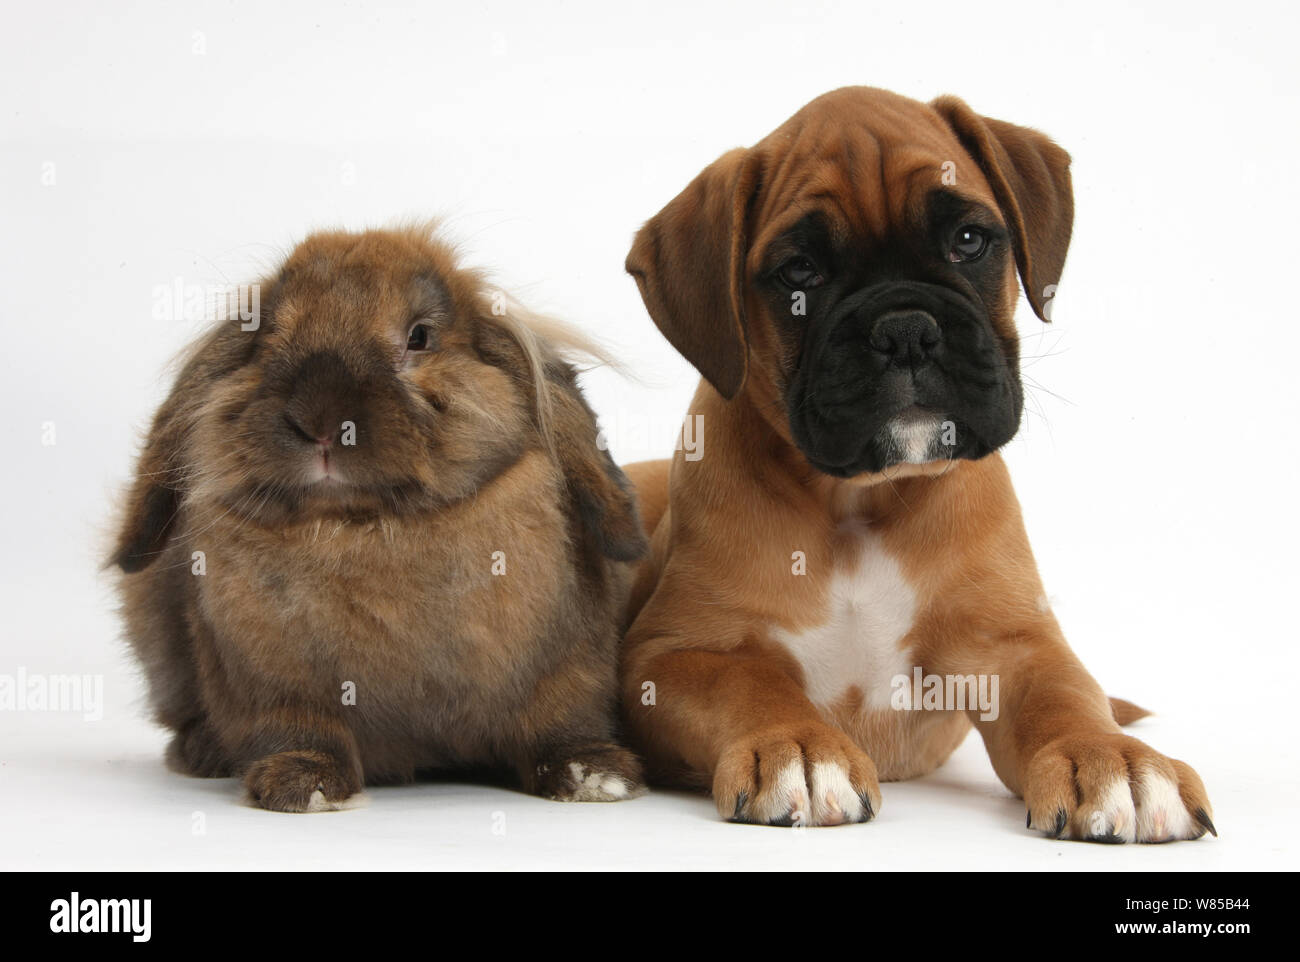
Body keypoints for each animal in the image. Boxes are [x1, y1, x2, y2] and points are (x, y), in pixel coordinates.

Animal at [109, 225, 650, 812]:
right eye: (268, 335)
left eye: (419, 337)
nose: (321, 422)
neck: (366, 527)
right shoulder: (273, 687)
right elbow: (300, 731)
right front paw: (303, 785)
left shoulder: (565, 667)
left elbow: (559, 719)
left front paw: (595, 777)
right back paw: (202, 754)